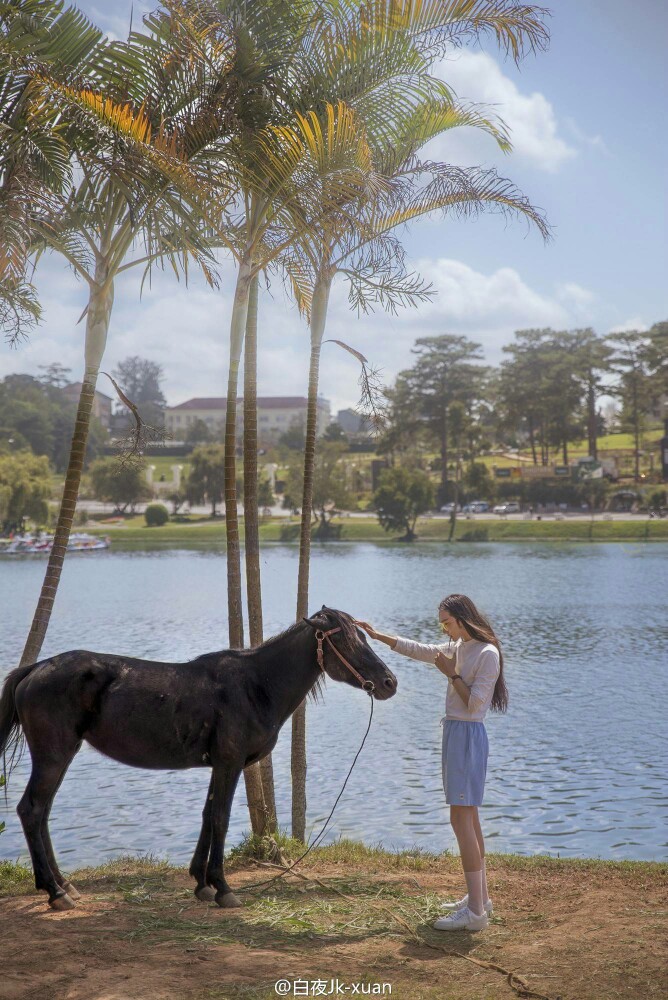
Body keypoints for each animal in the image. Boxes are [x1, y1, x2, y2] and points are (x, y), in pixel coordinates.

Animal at [0, 604, 396, 912]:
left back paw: (64, 885)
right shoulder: (230, 763)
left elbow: (208, 815)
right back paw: (55, 892)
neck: (255, 685)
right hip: (53, 755)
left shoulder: (219, 764)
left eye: (364, 638)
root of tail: (36, 668)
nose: (389, 682)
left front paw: (202, 883)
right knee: (32, 810)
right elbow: (220, 817)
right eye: (345, 641)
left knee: (42, 813)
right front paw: (223, 888)